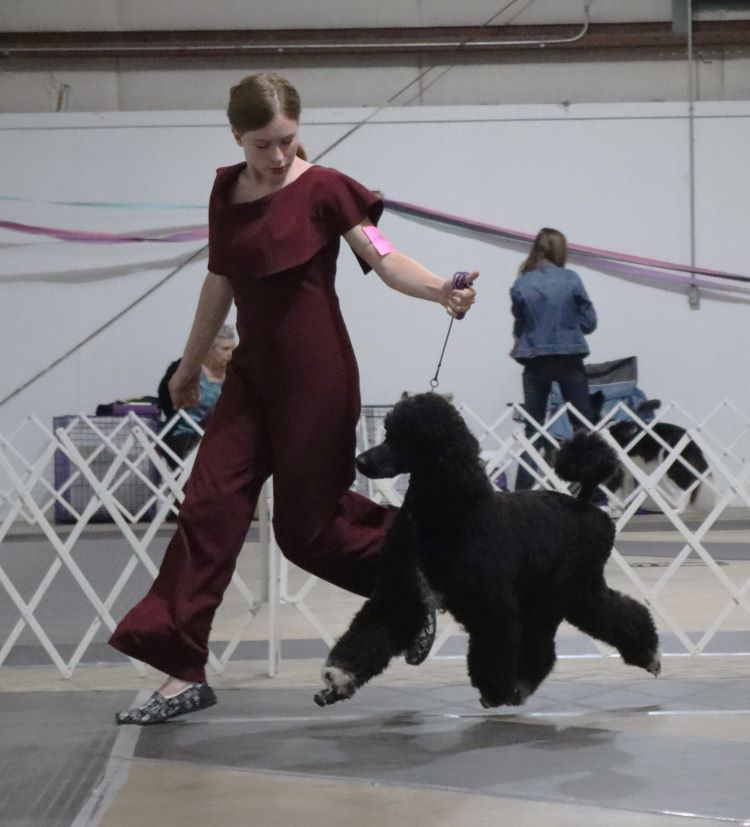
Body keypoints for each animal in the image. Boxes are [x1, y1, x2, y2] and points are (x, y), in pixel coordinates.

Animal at [314, 393, 660, 709]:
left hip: (559, 591)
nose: (361, 461)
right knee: (610, 615)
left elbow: (493, 645)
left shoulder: (489, 603)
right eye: (388, 433)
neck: (447, 512)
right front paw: (338, 677)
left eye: (408, 438)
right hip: (573, 593)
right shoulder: (400, 594)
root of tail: (584, 504)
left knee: (554, 640)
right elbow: (372, 631)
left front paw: (494, 691)